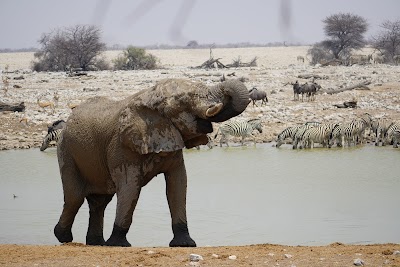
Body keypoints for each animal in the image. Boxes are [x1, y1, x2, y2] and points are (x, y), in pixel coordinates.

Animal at [54, 78, 250, 248]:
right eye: (184, 101)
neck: (150, 97)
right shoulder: (122, 146)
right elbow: (130, 187)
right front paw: (119, 244)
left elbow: (178, 183)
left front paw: (185, 244)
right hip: (66, 152)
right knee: (75, 197)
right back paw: (63, 237)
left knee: (100, 202)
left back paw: (96, 243)